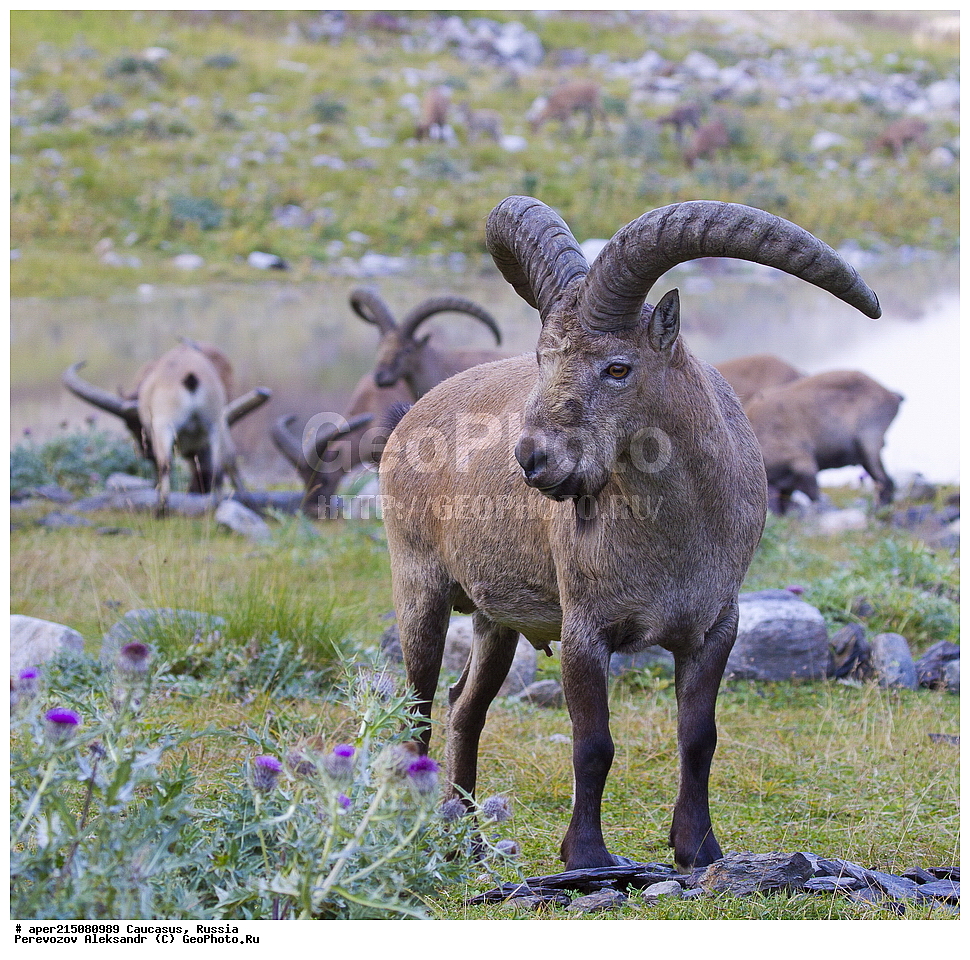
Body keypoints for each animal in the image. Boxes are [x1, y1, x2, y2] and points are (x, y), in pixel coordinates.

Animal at [63, 341, 271, 514]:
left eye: (132, 426)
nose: (144, 452)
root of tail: (190, 377)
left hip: (165, 425)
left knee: (166, 463)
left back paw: (161, 510)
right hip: (216, 423)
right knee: (222, 463)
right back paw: (224, 504)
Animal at [379, 196, 880, 871]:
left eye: (618, 367)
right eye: (542, 360)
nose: (533, 459)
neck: (673, 537)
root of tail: (412, 418)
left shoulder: (714, 626)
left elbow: (699, 737)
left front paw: (698, 848)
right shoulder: (585, 628)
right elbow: (593, 743)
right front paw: (588, 856)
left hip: (496, 620)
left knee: (465, 708)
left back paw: (468, 838)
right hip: (420, 589)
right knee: (418, 712)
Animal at [743, 370, 902, 514]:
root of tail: (891, 395)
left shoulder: (803, 462)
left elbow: (815, 496)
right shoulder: (787, 485)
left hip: (869, 441)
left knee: (886, 481)